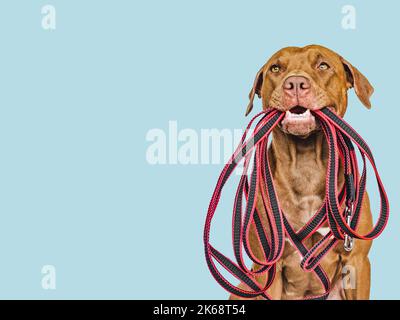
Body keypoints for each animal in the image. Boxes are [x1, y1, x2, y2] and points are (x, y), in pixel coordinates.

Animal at [231, 44, 376, 300]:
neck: (306, 161)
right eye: (275, 68)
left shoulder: (357, 262)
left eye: (323, 65)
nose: (295, 83)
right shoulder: (267, 269)